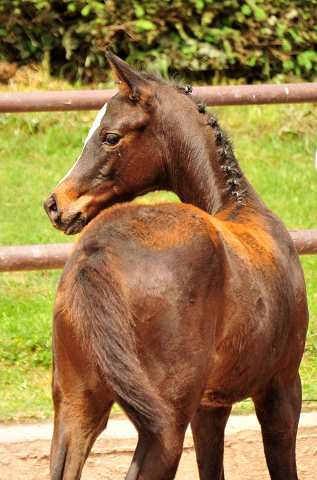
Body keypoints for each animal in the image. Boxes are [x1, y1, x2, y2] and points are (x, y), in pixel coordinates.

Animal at [43, 49, 308, 480]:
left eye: (109, 136)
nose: (55, 204)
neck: (239, 207)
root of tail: (98, 252)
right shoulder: (282, 389)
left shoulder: (210, 406)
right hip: (166, 422)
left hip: (77, 406)